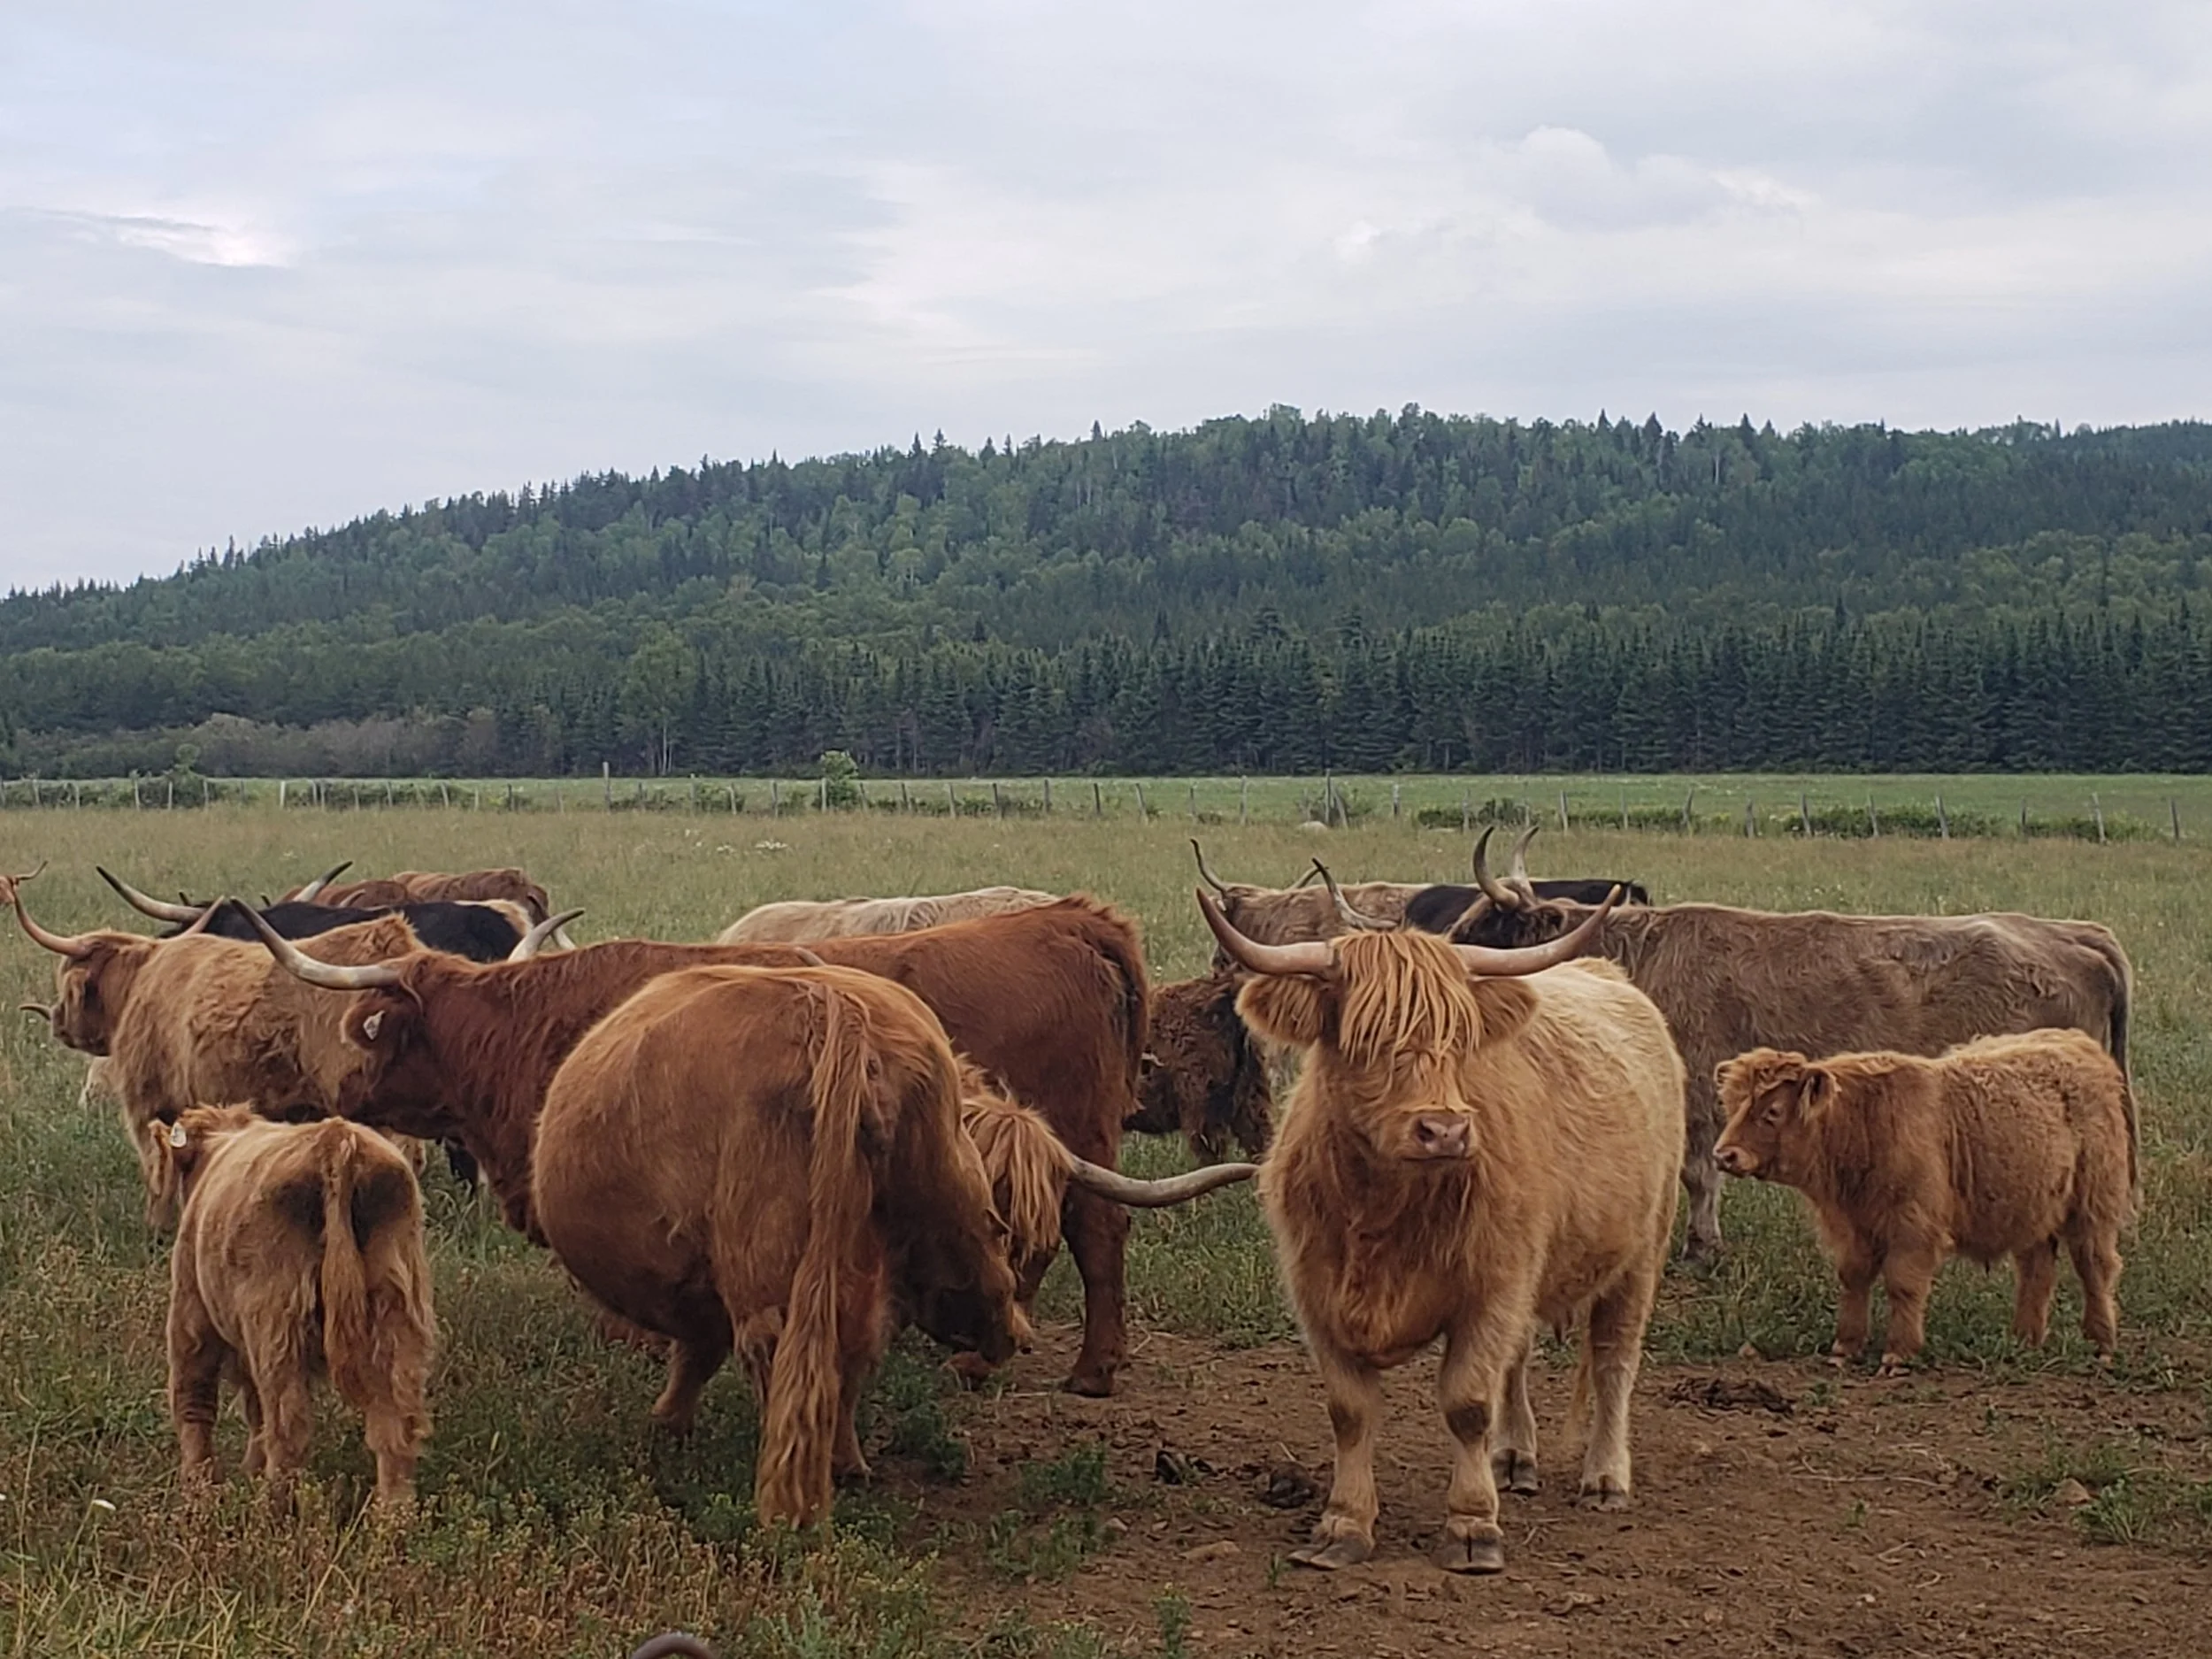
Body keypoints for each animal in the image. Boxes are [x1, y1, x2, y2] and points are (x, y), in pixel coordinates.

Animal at [156, 1104, 434, 1510]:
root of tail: (337, 1140)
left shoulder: (191, 1316)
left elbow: (195, 1400)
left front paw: (199, 1487)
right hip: (396, 1311)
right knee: (395, 1428)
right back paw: (392, 1515)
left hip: (276, 1323)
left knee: (286, 1427)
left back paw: (272, 1508)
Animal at [245, 897, 1249, 1397]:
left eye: (373, 1029)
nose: (333, 1099)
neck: (539, 1029)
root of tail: (1072, 917)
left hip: (1073, 1133)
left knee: (1095, 1234)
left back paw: (1084, 1370)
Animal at [1201, 885, 1681, 1575]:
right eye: (1363, 1036)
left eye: (1460, 1037)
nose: (1445, 1130)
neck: (1383, 1211)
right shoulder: (1317, 1292)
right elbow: (1350, 1410)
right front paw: (1343, 1523)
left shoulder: (1490, 1289)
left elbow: (1467, 1403)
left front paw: (1473, 1527)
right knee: (1520, 1359)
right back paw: (1515, 1457)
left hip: (1641, 1249)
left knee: (1615, 1357)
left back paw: (1606, 1477)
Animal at [1714, 1032, 2132, 1372]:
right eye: (1732, 1106)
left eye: (1772, 1111)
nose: (1724, 1155)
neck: (1863, 1125)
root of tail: (2076, 1040)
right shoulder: (1854, 1229)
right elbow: (1853, 1279)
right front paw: (1845, 1348)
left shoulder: (1912, 1227)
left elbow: (1903, 1285)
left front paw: (1899, 1353)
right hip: (2032, 1209)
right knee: (2036, 1273)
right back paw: (2024, 1340)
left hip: (2092, 1205)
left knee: (2095, 1268)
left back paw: (2101, 1344)